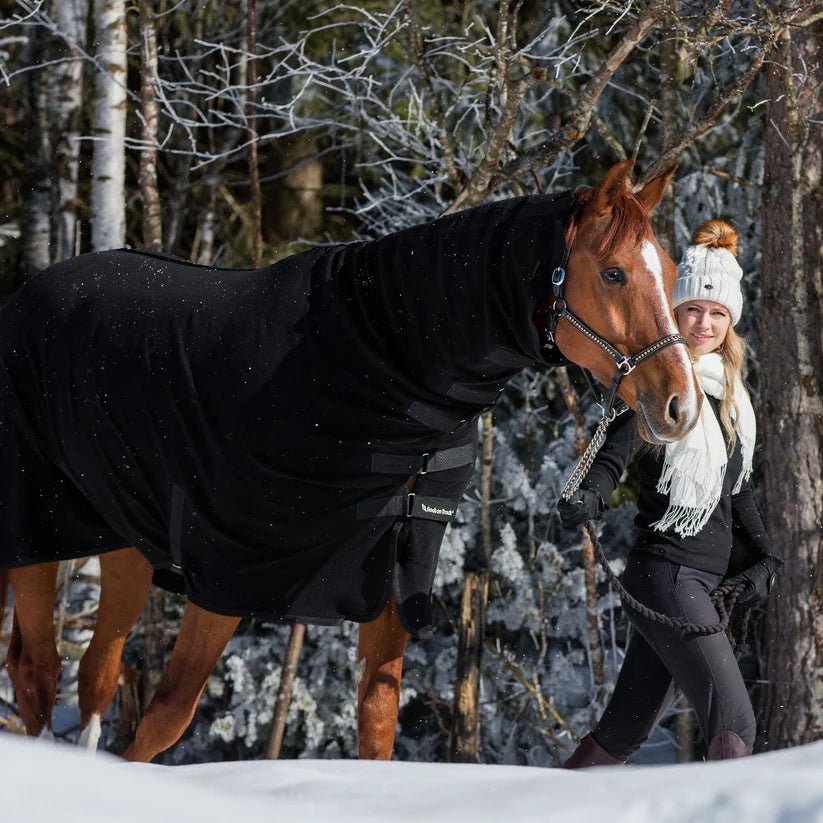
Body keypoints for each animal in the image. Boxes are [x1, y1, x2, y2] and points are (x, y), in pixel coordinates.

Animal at [0, 159, 699, 762]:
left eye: (668, 272)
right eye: (614, 273)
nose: (680, 405)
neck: (379, 361)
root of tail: (26, 296)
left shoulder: (390, 567)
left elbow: (378, 717)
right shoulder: (230, 571)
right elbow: (168, 714)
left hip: (121, 540)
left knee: (95, 672)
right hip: (38, 535)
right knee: (36, 673)